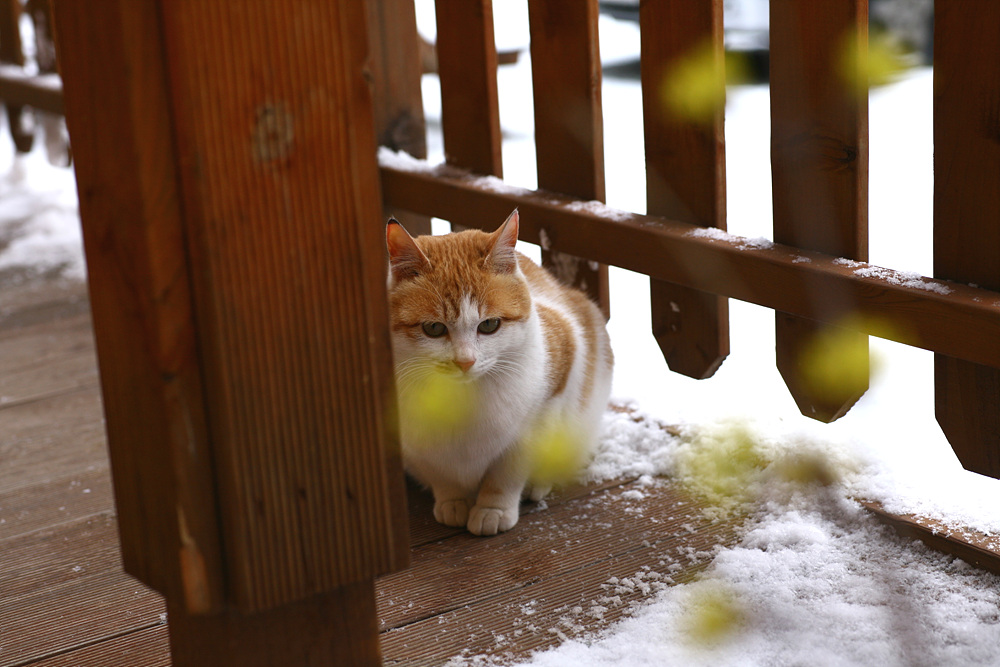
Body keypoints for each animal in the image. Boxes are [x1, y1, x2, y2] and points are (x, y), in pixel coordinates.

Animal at [386, 211, 612, 536]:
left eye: (489, 325)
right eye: (434, 328)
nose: (465, 361)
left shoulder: (546, 403)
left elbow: (508, 472)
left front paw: (493, 509)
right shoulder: (417, 440)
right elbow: (441, 474)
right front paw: (453, 501)